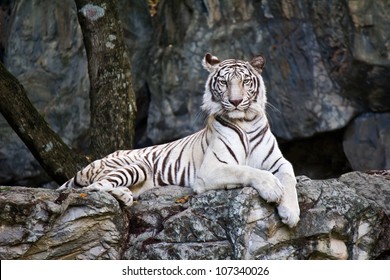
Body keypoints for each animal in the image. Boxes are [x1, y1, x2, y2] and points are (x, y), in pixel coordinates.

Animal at [58, 53, 302, 228]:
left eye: (245, 82)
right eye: (224, 83)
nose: (235, 101)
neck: (246, 121)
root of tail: (89, 164)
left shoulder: (279, 162)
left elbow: (289, 177)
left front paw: (290, 213)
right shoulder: (211, 168)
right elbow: (246, 170)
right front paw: (272, 188)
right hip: (136, 166)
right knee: (95, 187)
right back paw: (122, 195)